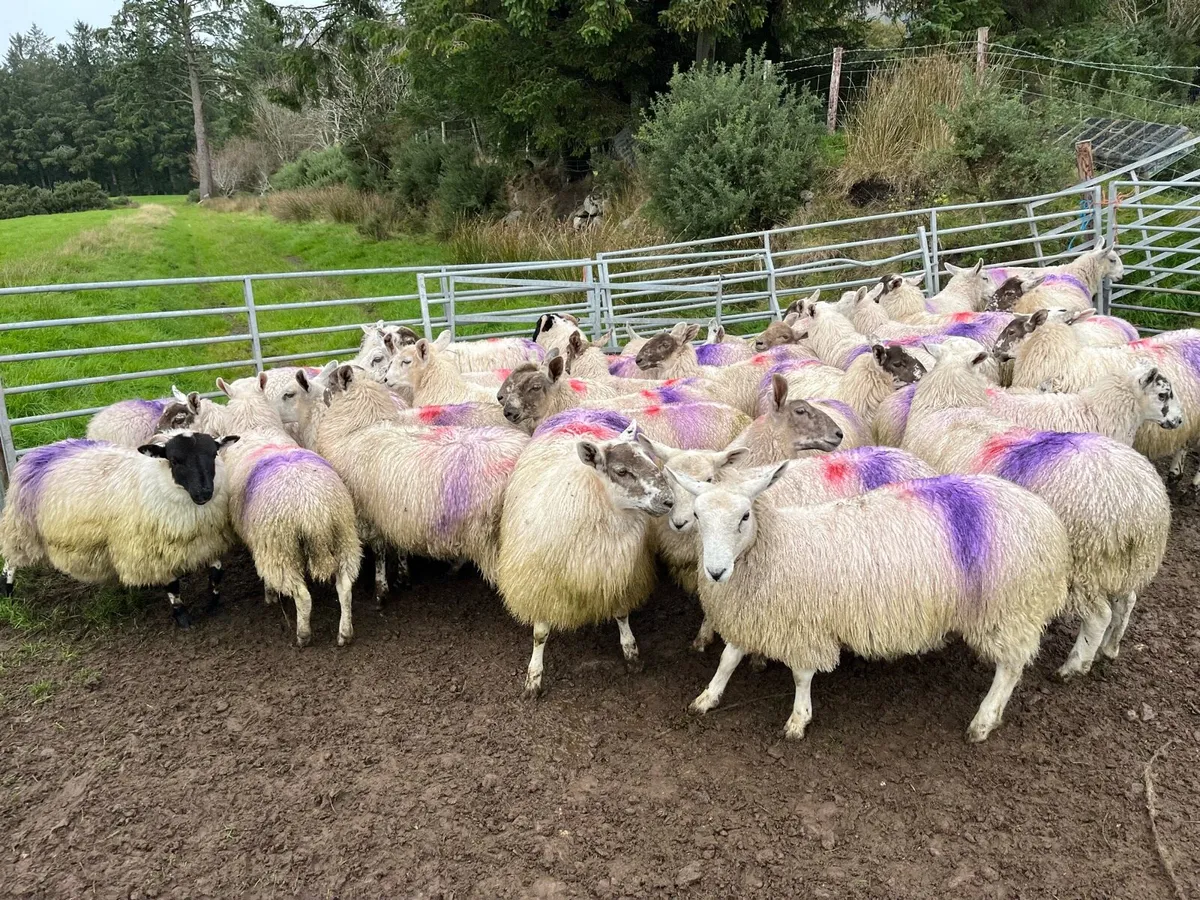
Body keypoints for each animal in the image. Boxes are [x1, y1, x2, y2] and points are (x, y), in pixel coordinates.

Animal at [0, 431, 239, 628]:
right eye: (174, 460)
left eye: (214, 454)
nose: (204, 493)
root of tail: (39, 450)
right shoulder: (153, 552)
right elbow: (173, 586)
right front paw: (182, 617)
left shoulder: (209, 541)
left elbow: (217, 573)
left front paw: (213, 603)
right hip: (21, 527)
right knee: (11, 561)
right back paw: (7, 591)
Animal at [205, 375, 362, 647]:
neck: (255, 427)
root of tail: (314, 513)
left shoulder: (262, 545)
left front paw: (268, 595)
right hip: (345, 537)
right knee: (344, 587)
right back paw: (344, 632)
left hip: (281, 550)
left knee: (302, 596)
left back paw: (303, 635)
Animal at [497, 412, 673, 696]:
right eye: (621, 471)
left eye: (647, 458)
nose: (669, 501)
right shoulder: (541, 584)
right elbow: (540, 634)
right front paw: (533, 678)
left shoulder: (618, 575)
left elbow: (621, 614)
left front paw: (631, 653)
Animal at [671, 464, 1071, 742]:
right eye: (698, 517)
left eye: (744, 516)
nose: (716, 572)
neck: (776, 545)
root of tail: (1046, 516)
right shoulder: (754, 614)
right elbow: (727, 659)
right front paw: (707, 696)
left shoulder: (803, 624)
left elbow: (801, 675)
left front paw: (799, 719)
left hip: (1011, 607)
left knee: (1010, 668)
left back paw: (983, 721)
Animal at [903, 349, 1172, 669]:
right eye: (1164, 395)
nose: (1178, 421)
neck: (949, 405)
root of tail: (1143, 506)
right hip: (1125, 566)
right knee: (1126, 602)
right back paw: (1110, 648)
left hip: (1086, 564)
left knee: (1099, 616)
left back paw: (1074, 665)